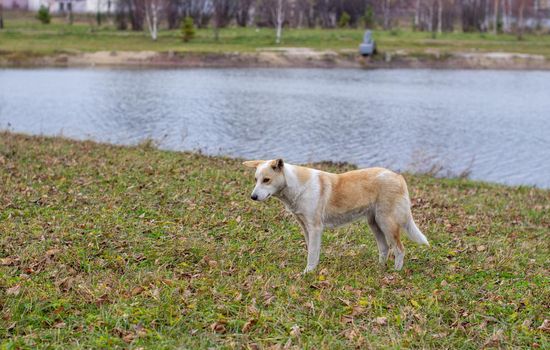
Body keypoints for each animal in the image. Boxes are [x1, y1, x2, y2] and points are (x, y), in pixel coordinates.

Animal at [245, 159, 432, 274]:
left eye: (266, 180)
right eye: (255, 179)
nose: (252, 197)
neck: (297, 186)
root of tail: (398, 176)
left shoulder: (315, 228)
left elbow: (312, 252)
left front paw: (308, 272)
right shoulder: (305, 227)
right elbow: (312, 250)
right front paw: (312, 270)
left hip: (386, 223)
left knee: (399, 249)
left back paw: (395, 272)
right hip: (375, 224)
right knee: (385, 247)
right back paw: (379, 268)